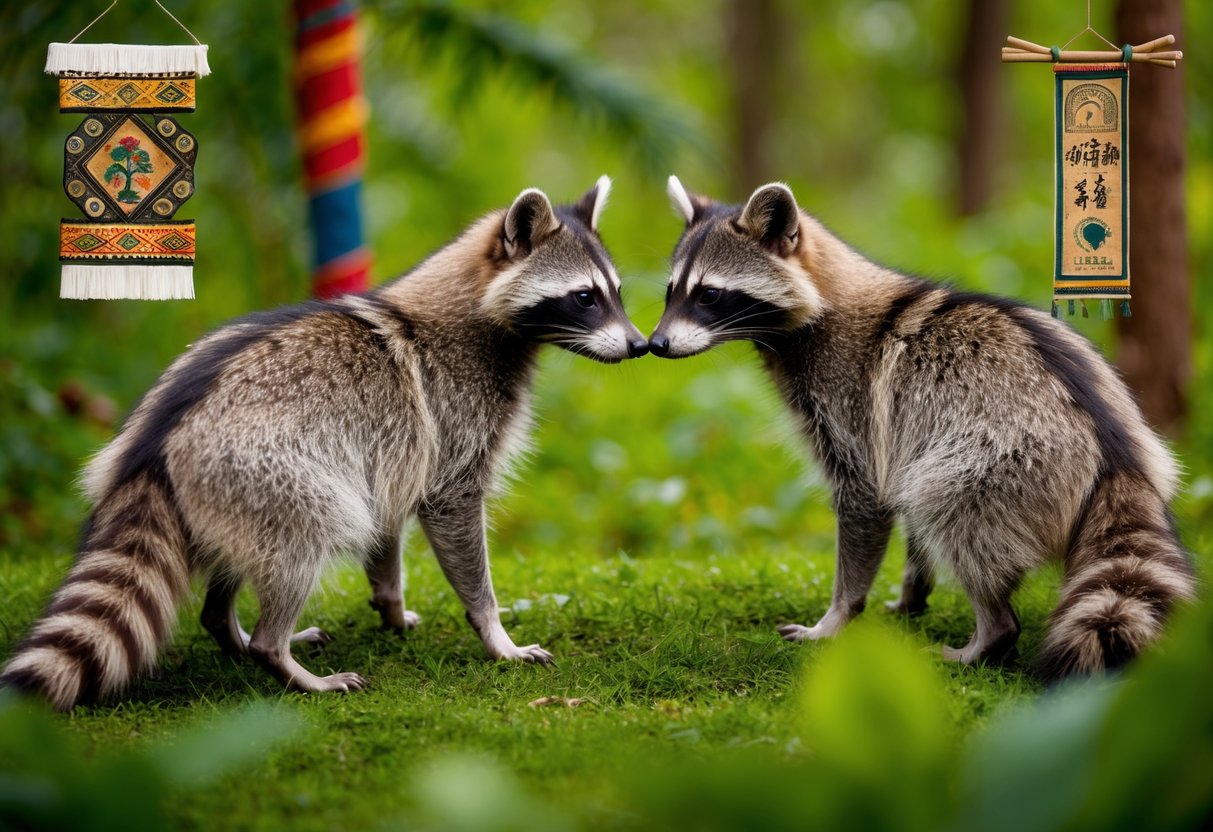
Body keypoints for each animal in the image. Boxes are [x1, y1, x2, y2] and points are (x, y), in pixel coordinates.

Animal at [1, 177, 648, 710]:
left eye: (616, 291)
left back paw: (231, 631)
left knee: (245, 563)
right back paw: (276, 654)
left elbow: (385, 522)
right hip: (269, 473)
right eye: (585, 297)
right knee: (310, 533)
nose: (641, 345)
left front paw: (390, 601)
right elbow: (452, 517)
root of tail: (151, 449)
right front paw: (494, 632)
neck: (475, 303)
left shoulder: (394, 449)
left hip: (228, 495)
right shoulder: (453, 417)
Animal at [649, 175, 1195, 677]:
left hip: (1003, 461)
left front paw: (837, 617)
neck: (823, 294)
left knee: (950, 509)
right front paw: (913, 589)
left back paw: (989, 634)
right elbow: (902, 494)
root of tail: (1116, 458)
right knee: (928, 498)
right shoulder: (906, 429)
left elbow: (867, 501)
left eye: (710, 294)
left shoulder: (849, 402)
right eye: (671, 292)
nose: (654, 344)